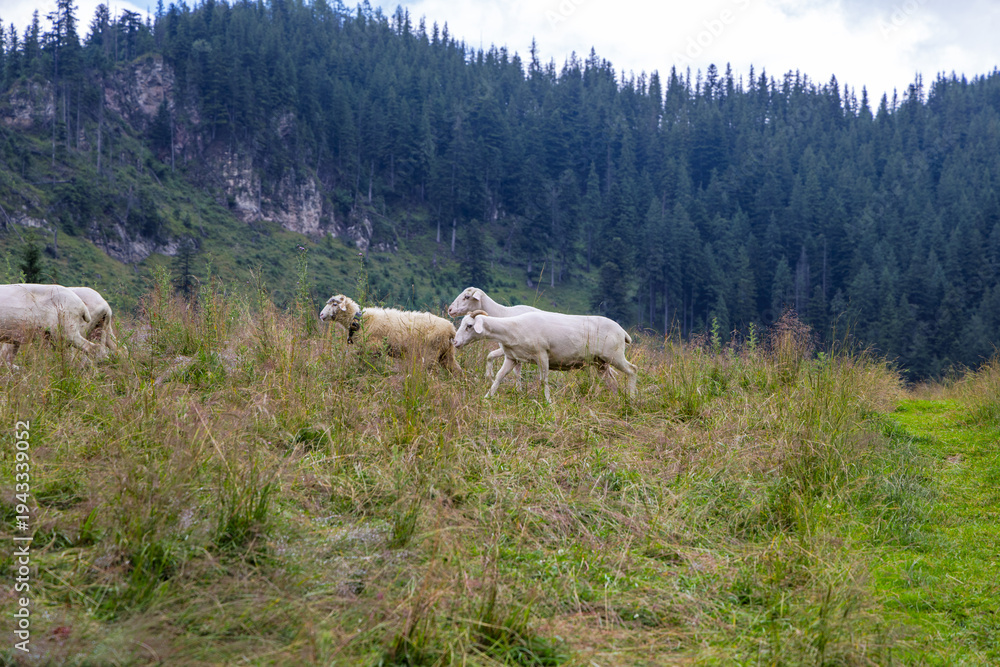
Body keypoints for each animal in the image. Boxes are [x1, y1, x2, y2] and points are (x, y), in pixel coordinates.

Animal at [319, 294, 461, 374]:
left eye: (335, 304)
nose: (320, 314)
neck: (358, 320)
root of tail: (451, 329)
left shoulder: (373, 348)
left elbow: (368, 364)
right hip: (446, 354)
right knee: (456, 370)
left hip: (430, 353)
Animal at [453, 309, 637, 403]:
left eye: (469, 326)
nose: (455, 342)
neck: (513, 328)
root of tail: (622, 331)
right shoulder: (512, 358)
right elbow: (499, 376)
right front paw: (488, 396)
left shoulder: (542, 355)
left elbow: (544, 380)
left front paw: (548, 401)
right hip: (601, 363)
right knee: (612, 382)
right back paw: (613, 400)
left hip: (615, 355)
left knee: (632, 370)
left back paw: (632, 397)